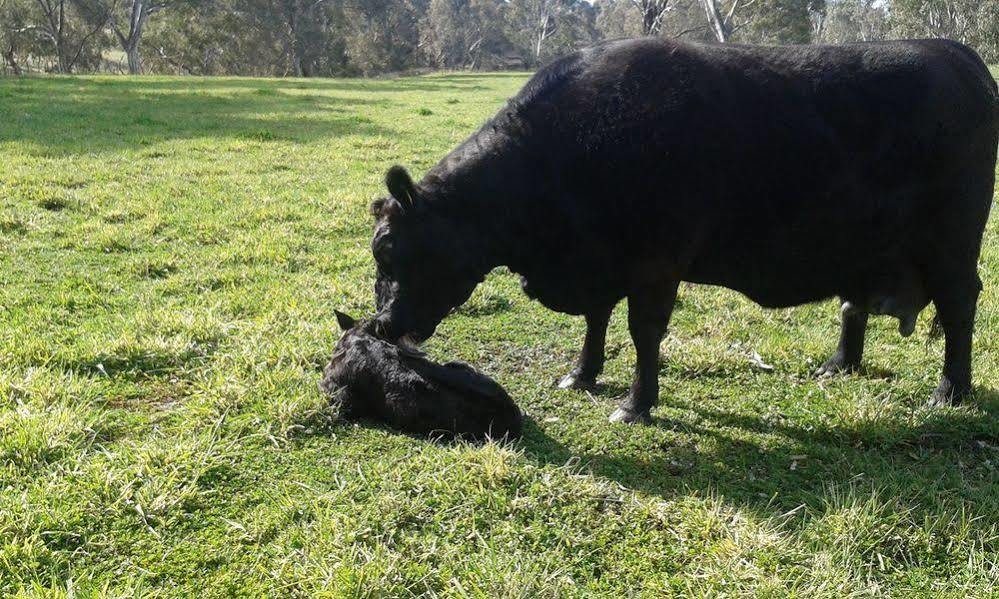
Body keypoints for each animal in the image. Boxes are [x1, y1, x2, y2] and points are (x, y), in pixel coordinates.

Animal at [368, 38, 999, 422]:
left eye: (392, 252)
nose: (382, 325)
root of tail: (954, 53)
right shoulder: (604, 264)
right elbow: (596, 322)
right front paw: (582, 375)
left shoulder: (655, 263)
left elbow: (643, 332)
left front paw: (636, 404)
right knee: (853, 304)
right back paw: (839, 364)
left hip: (952, 244)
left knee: (960, 306)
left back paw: (951, 391)